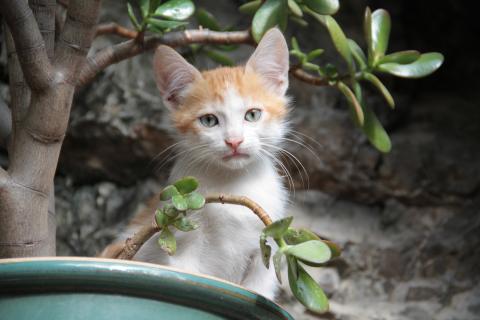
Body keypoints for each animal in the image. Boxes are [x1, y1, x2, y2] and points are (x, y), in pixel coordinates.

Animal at [105, 28, 290, 300]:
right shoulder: (179, 230)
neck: (232, 184)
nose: (234, 141)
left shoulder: (268, 234)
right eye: (209, 120)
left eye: (253, 115)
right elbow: (187, 273)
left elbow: (261, 286)